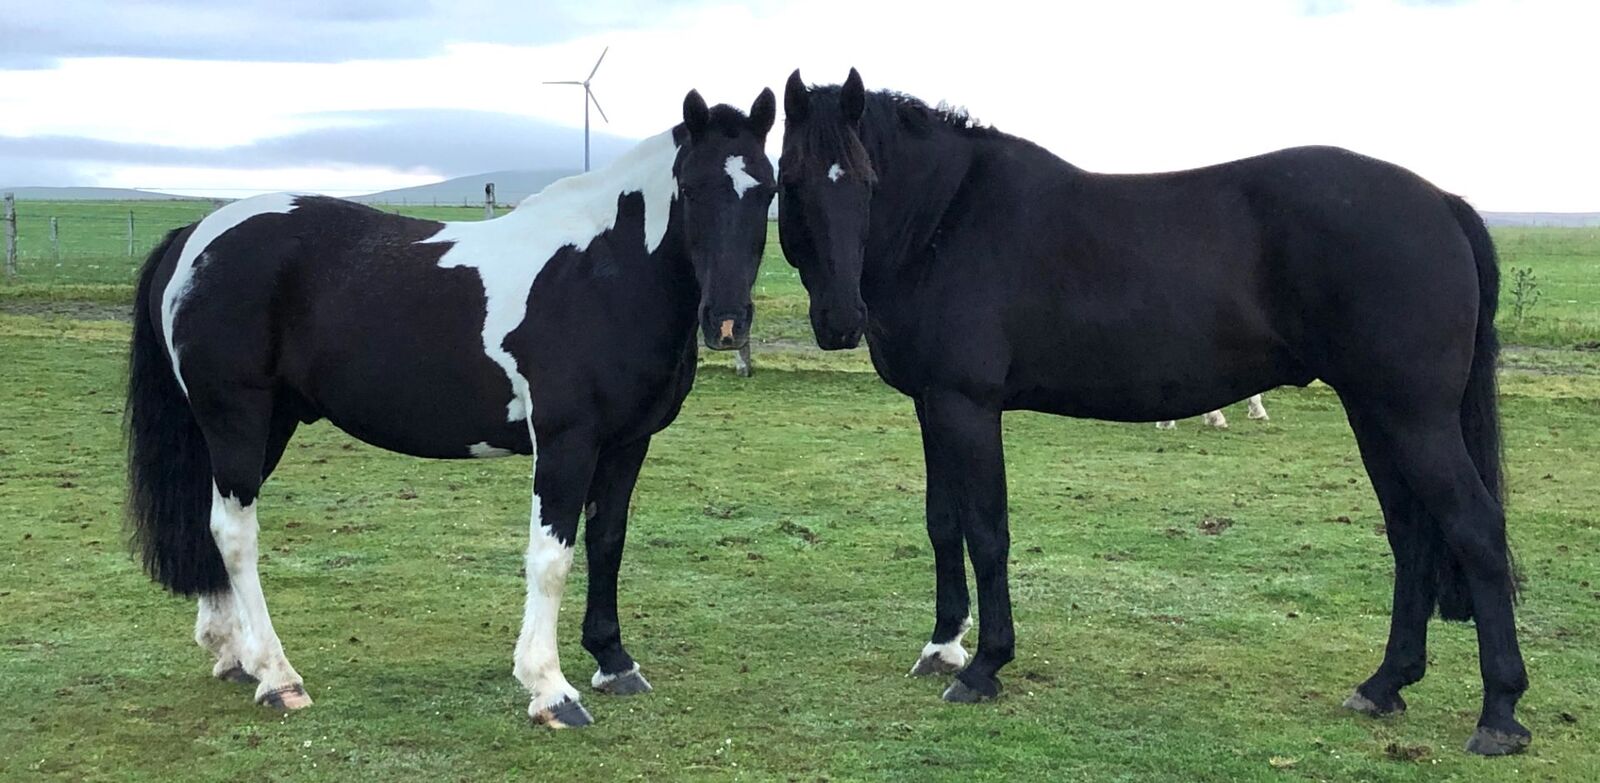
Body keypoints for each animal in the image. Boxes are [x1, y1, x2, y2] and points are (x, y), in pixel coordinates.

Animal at [126, 88, 777, 729]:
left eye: (767, 189)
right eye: (691, 187)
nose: (726, 322)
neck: (599, 274)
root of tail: (194, 238)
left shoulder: (626, 443)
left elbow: (607, 542)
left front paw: (614, 663)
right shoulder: (566, 441)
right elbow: (552, 557)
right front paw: (550, 689)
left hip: (269, 424)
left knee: (208, 523)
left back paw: (233, 655)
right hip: (237, 418)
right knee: (234, 533)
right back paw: (278, 677)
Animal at [777, 69, 1526, 755]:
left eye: (864, 179)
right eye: (792, 180)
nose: (840, 320)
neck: (947, 219)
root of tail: (1443, 204)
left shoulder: (968, 406)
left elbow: (986, 532)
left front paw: (984, 666)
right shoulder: (932, 407)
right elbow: (942, 525)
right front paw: (941, 647)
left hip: (1414, 418)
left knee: (1476, 528)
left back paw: (1499, 714)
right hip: (1375, 413)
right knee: (1411, 534)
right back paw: (1385, 683)